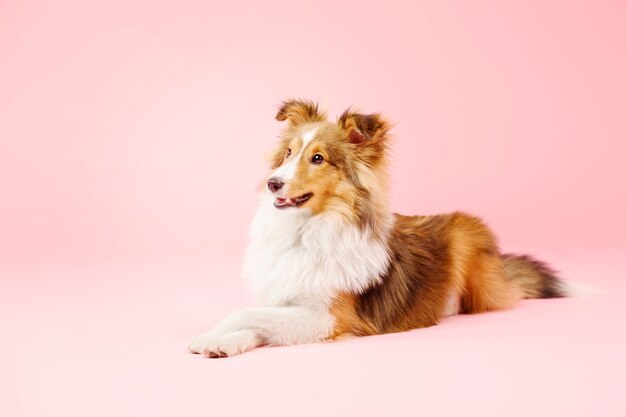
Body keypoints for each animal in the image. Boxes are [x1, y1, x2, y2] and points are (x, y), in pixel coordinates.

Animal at [184, 98, 572, 358]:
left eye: (318, 158)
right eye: (289, 153)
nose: (272, 183)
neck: (304, 233)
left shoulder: (331, 318)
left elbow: (248, 313)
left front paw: (210, 335)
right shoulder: (285, 302)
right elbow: (257, 321)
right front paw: (219, 340)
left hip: (467, 236)